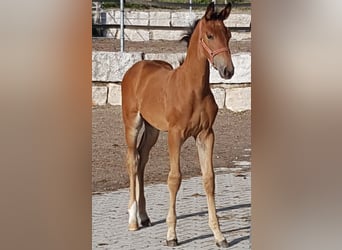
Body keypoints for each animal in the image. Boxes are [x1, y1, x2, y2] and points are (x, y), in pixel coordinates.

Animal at [121, 2, 235, 248]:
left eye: (229, 35)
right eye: (209, 36)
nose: (228, 71)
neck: (193, 89)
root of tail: (136, 68)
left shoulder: (206, 134)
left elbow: (209, 179)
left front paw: (219, 236)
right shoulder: (175, 135)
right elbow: (174, 179)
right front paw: (171, 235)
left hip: (153, 129)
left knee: (142, 159)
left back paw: (144, 216)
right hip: (132, 123)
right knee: (132, 161)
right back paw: (133, 219)